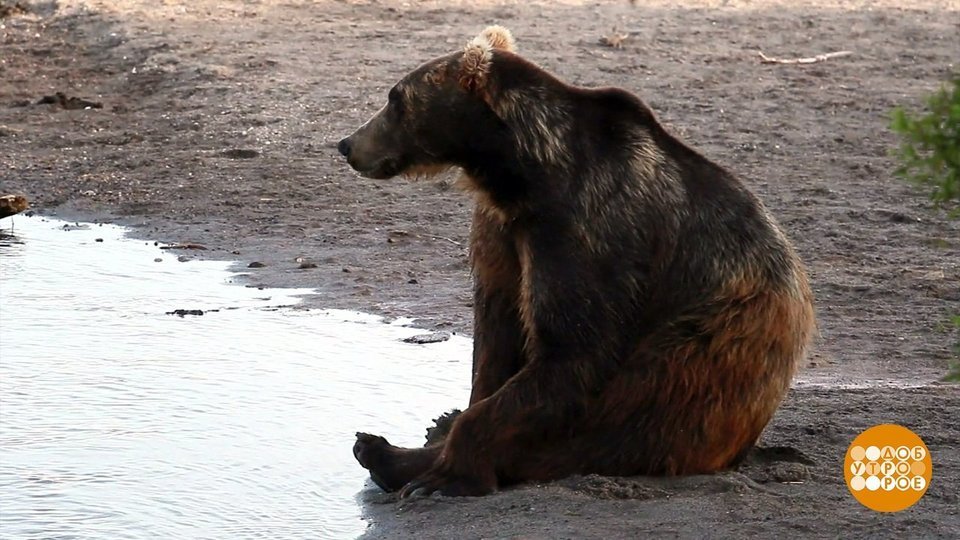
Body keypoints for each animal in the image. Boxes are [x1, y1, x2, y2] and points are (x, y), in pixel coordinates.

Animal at [340, 26, 816, 498]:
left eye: (396, 99)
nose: (347, 144)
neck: (523, 174)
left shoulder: (588, 229)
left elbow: (573, 349)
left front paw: (444, 475)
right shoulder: (504, 234)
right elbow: (497, 339)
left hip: (710, 348)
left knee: (632, 414)